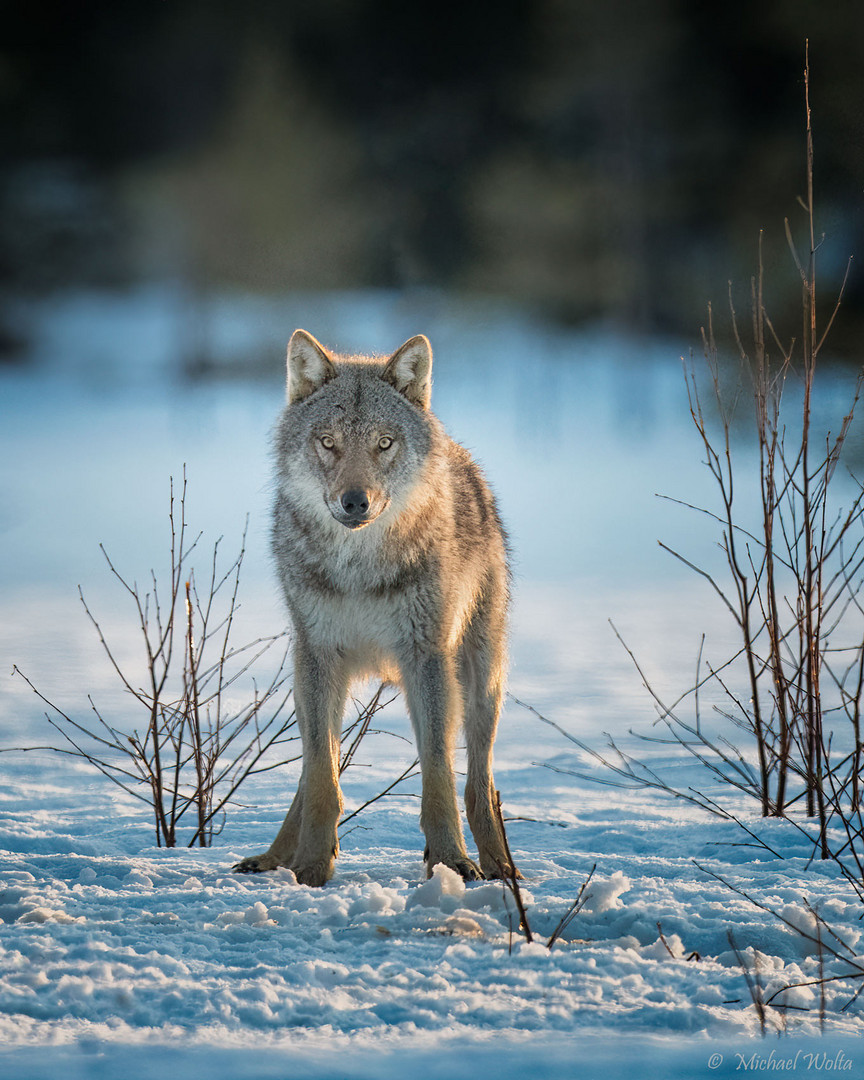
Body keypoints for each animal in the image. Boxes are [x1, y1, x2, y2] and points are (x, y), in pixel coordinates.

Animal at [233, 328, 514, 885]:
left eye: (384, 443)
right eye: (328, 442)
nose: (354, 501)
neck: (358, 568)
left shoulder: (427, 659)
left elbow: (437, 777)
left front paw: (450, 861)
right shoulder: (317, 656)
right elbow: (322, 780)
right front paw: (310, 868)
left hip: (480, 684)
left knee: (479, 783)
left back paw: (498, 867)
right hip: (314, 679)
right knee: (310, 771)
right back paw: (275, 857)